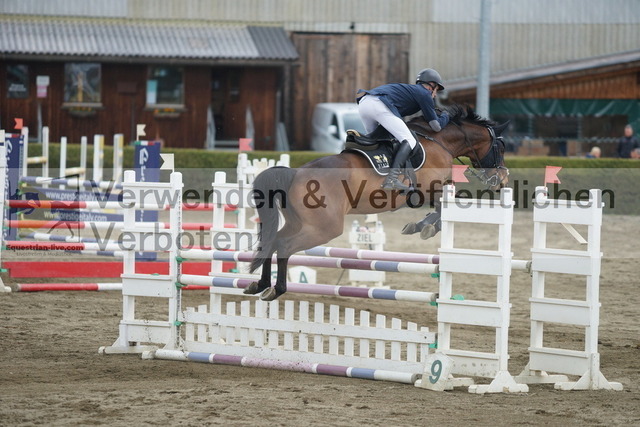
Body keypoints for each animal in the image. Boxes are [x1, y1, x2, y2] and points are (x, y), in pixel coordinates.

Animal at [245, 105, 510, 300]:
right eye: (501, 147)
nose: (502, 180)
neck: (439, 141)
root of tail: (295, 173)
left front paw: (420, 226)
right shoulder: (429, 189)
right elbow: (441, 209)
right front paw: (425, 227)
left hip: (300, 223)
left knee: (273, 241)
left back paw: (260, 284)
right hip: (323, 228)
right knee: (285, 246)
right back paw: (276, 289)